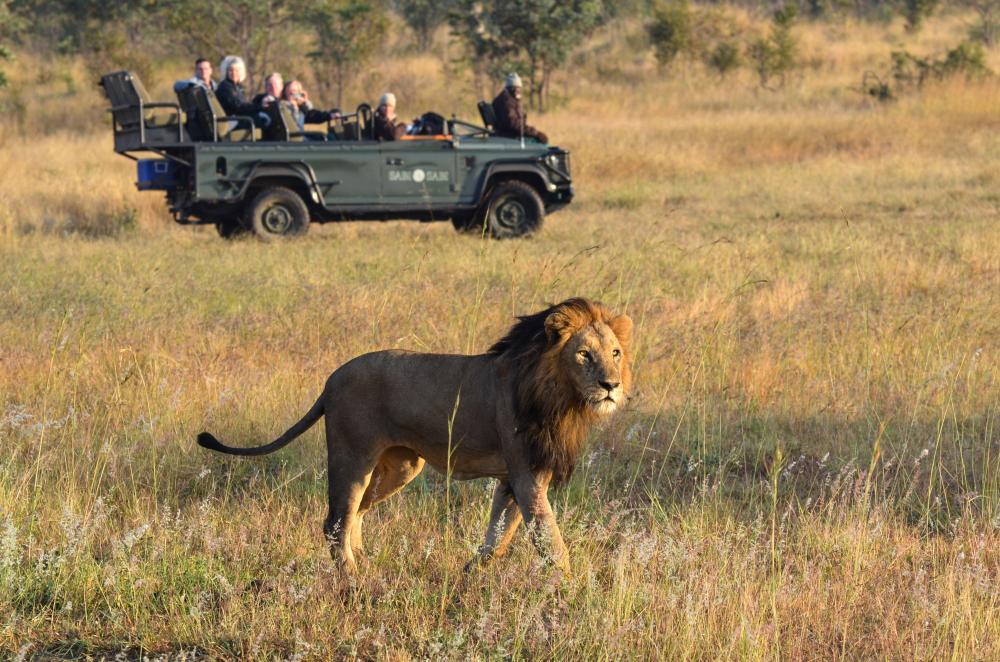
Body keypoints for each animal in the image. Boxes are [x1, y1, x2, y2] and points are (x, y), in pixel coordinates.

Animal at [196, 298, 632, 572]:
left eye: (615, 353)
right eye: (583, 354)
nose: (610, 385)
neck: (559, 395)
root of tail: (331, 379)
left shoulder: (517, 478)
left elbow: (499, 535)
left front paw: (471, 573)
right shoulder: (526, 475)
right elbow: (550, 541)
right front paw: (570, 593)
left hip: (401, 466)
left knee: (355, 515)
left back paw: (366, 565)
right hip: (352, 456)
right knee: (335, 521)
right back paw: (353, 580)